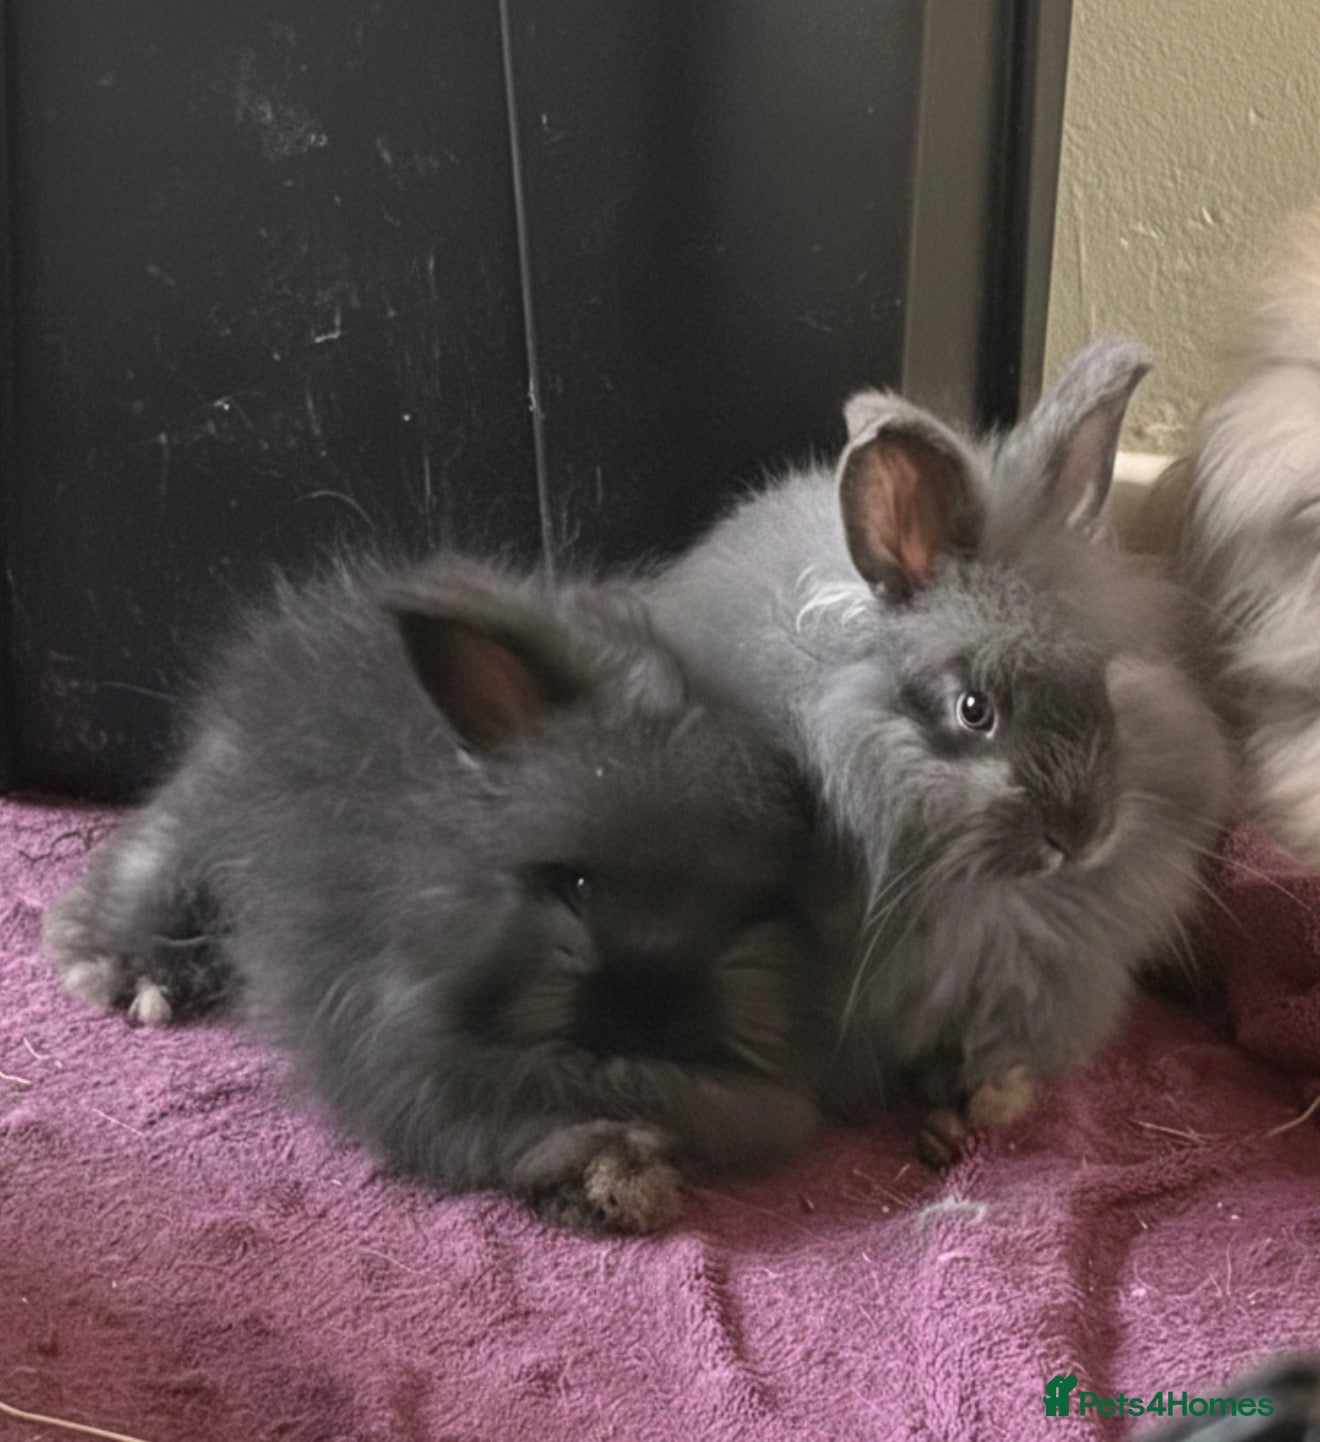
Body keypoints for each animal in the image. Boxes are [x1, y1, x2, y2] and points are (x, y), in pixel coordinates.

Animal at [44, 554, 825, 1232]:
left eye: (743, 913)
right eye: (575, 884)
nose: (648, 1006)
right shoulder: (394, 1049)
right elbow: (503, 1131)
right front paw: (610, 1181)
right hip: (197, 828)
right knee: (145, 872)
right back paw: (123, 975)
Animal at [647, 337, 1233, 1162]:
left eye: (1105, 683)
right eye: (974, 709)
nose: (1082, 834)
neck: (992, 903)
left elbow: (1002, 1059)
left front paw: (987, 1104)